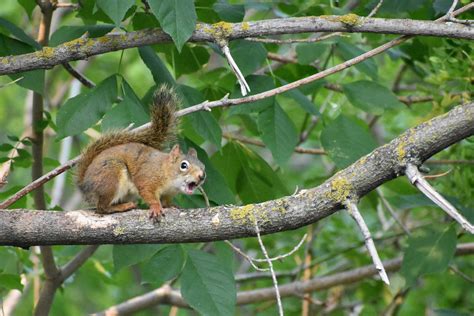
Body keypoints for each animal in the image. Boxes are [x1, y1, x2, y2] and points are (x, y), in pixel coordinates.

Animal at [76, 85, 206, 221]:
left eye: (203, 167)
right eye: (183, 165)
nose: (202, 176)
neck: (166, 173)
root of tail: (84, 185)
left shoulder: (168, 193)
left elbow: (166, 201)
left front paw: (171, 205)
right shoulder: (147, 179)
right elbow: (148, 193)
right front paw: (156, 207)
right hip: (110, 178)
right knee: (102, 208)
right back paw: (123, 207)